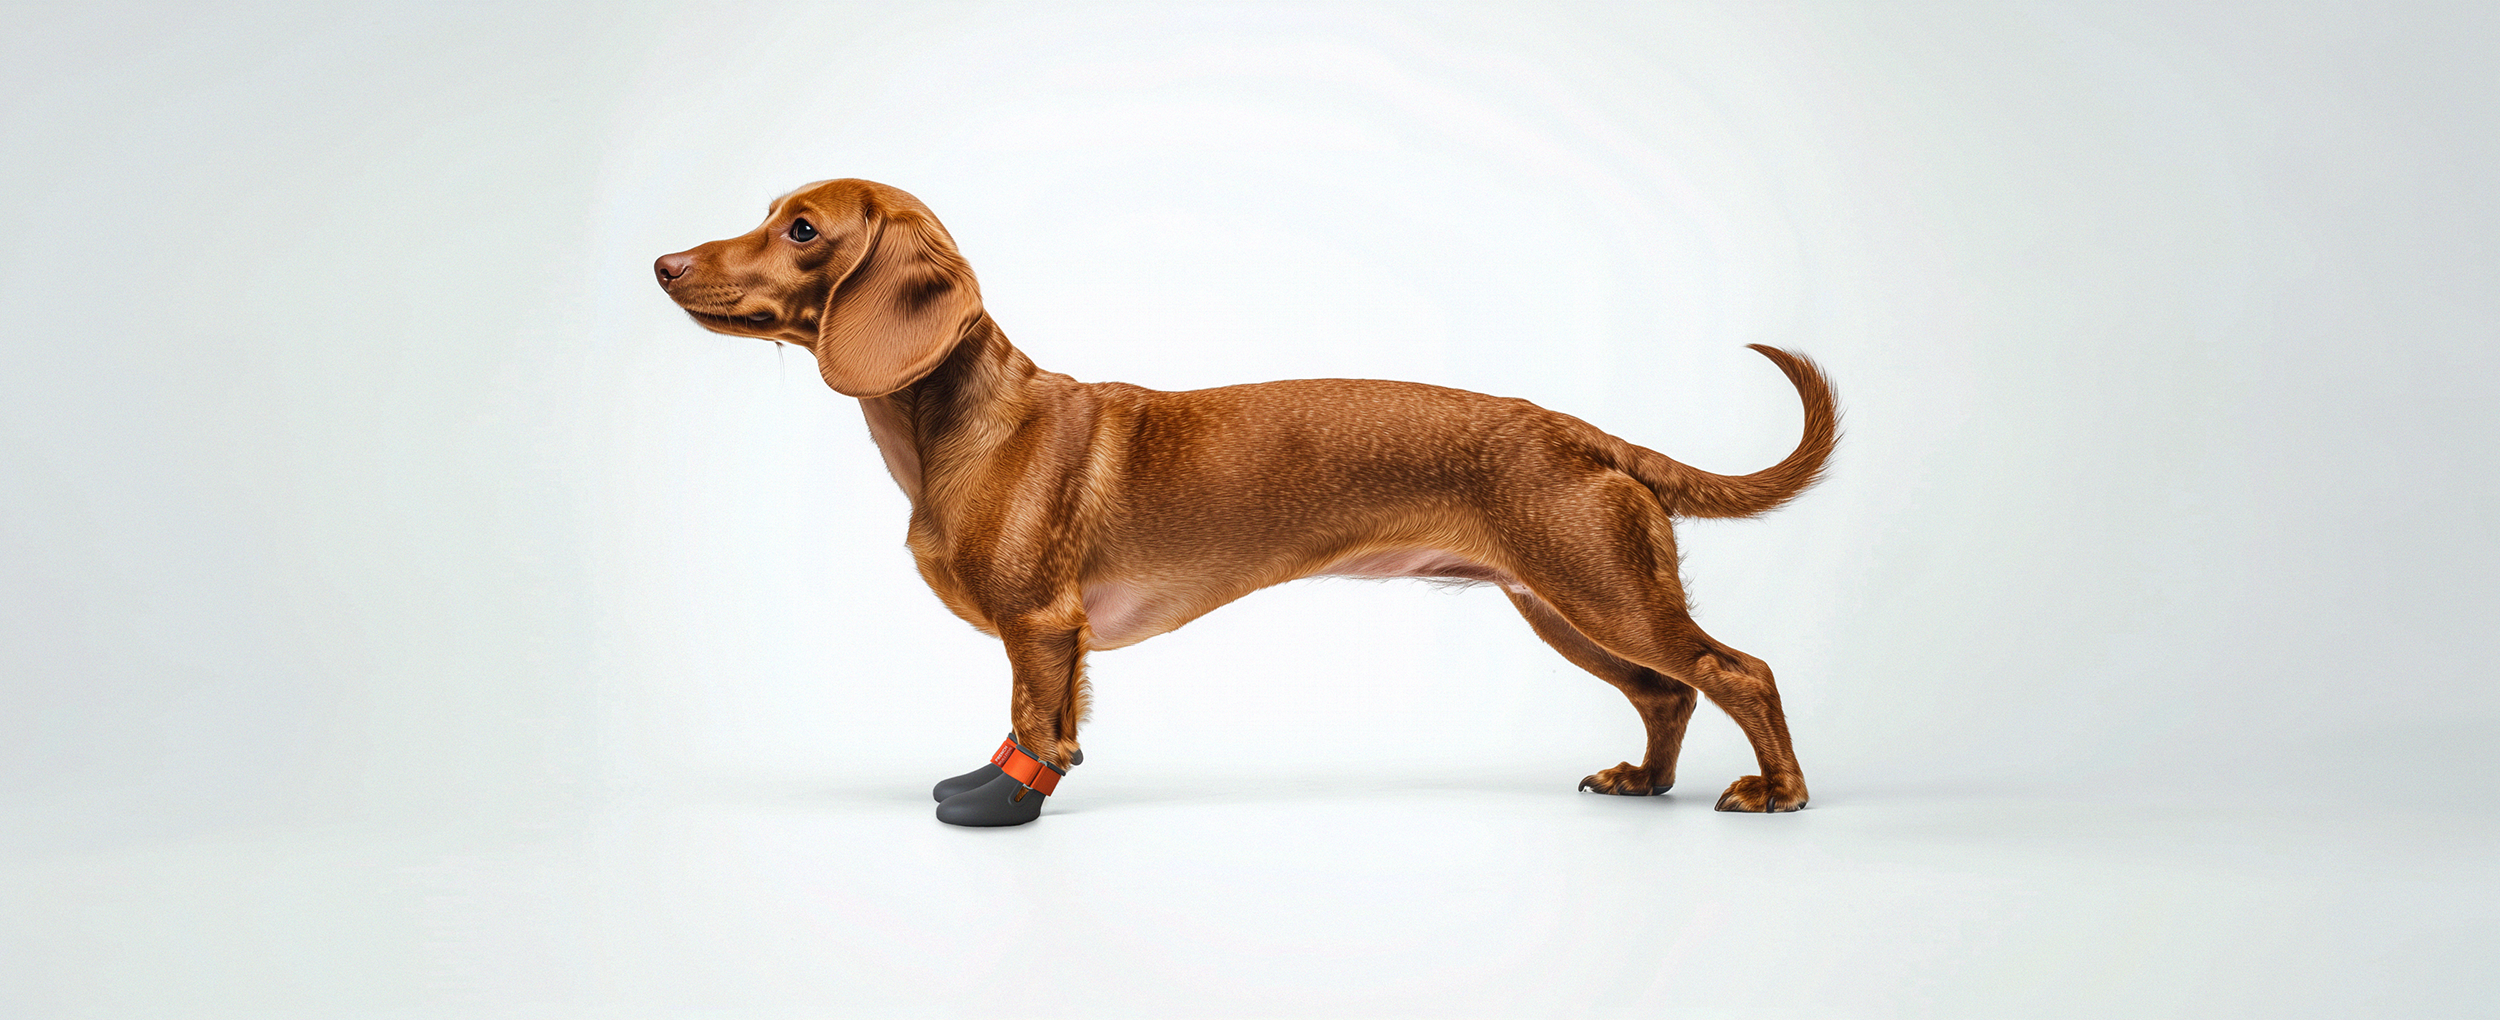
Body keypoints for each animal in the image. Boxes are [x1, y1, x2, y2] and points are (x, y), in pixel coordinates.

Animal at [660, 178, 1840, 825]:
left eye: (802, 229)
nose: (665, 262)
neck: (961, 426)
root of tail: (1585, 433)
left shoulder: (1040, 626)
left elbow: (1032, 728)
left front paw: (1002, 807)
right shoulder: (1059, 639)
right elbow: (1051, 730)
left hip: (1601, 592)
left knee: (1738, 672)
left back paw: (1777, 793)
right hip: (1561, 604)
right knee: (1668, 694)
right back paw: (1646, 781)